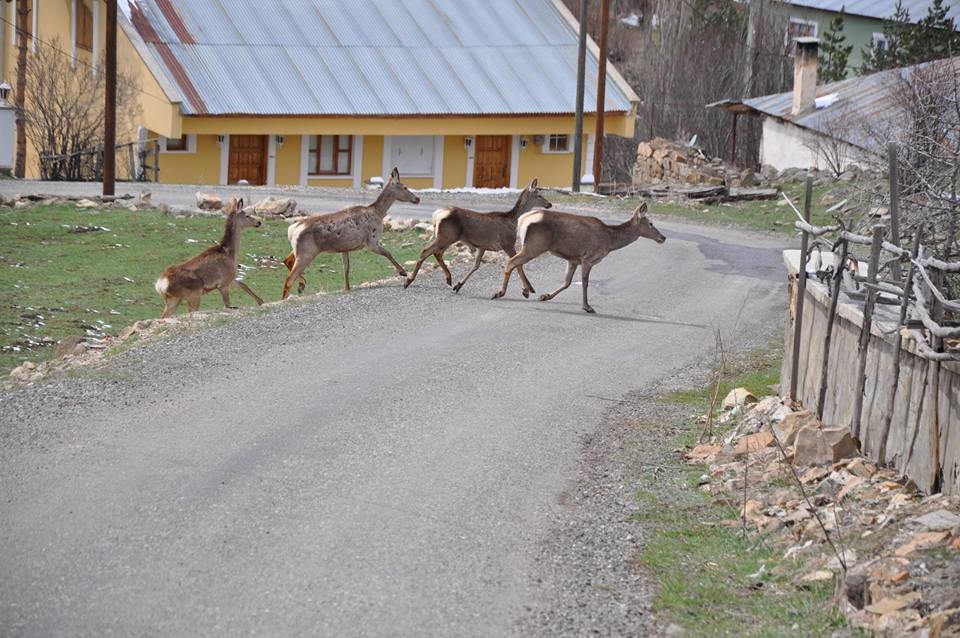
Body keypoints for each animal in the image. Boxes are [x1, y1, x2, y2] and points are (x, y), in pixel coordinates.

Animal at [284, 169, 422, 302]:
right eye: (405, 187)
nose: (417, 198)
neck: (378, 213)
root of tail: (292, 230)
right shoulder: (371, 240)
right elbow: (388, 253)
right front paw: (403, 272)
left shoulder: (344, 248)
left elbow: (346, 267)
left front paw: (347, 288)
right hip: (307, 251)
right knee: (289, 277)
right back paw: (288, 296)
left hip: (299, 249)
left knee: (287, 261)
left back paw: (301, 285)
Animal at [402, 176, 552, 294]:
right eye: (539, 195)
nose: (549, 204)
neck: (513, 220)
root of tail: (437, 215)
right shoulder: (507, 243)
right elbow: (517, 264)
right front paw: (528, 289)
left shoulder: (482, 246)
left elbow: (476, 265)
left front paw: (459, 285)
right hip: (446, 236)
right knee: (426, 251)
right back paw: (408, 281)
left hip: (443, 236)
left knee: (437, 253)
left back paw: (449, 279)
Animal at [492, 204, 664, 314]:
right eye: (650, 223)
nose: (663, 237)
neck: (610, 240)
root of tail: (523, 219)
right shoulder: (588, 258)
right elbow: (585, 283)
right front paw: (587, 307)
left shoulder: (573, 259)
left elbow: (567, 282)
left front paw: (545, 296)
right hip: (535, 245)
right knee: (511, 262)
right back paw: (500, 292)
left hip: (529, 246)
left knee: (515, 262)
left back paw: (526, 290)